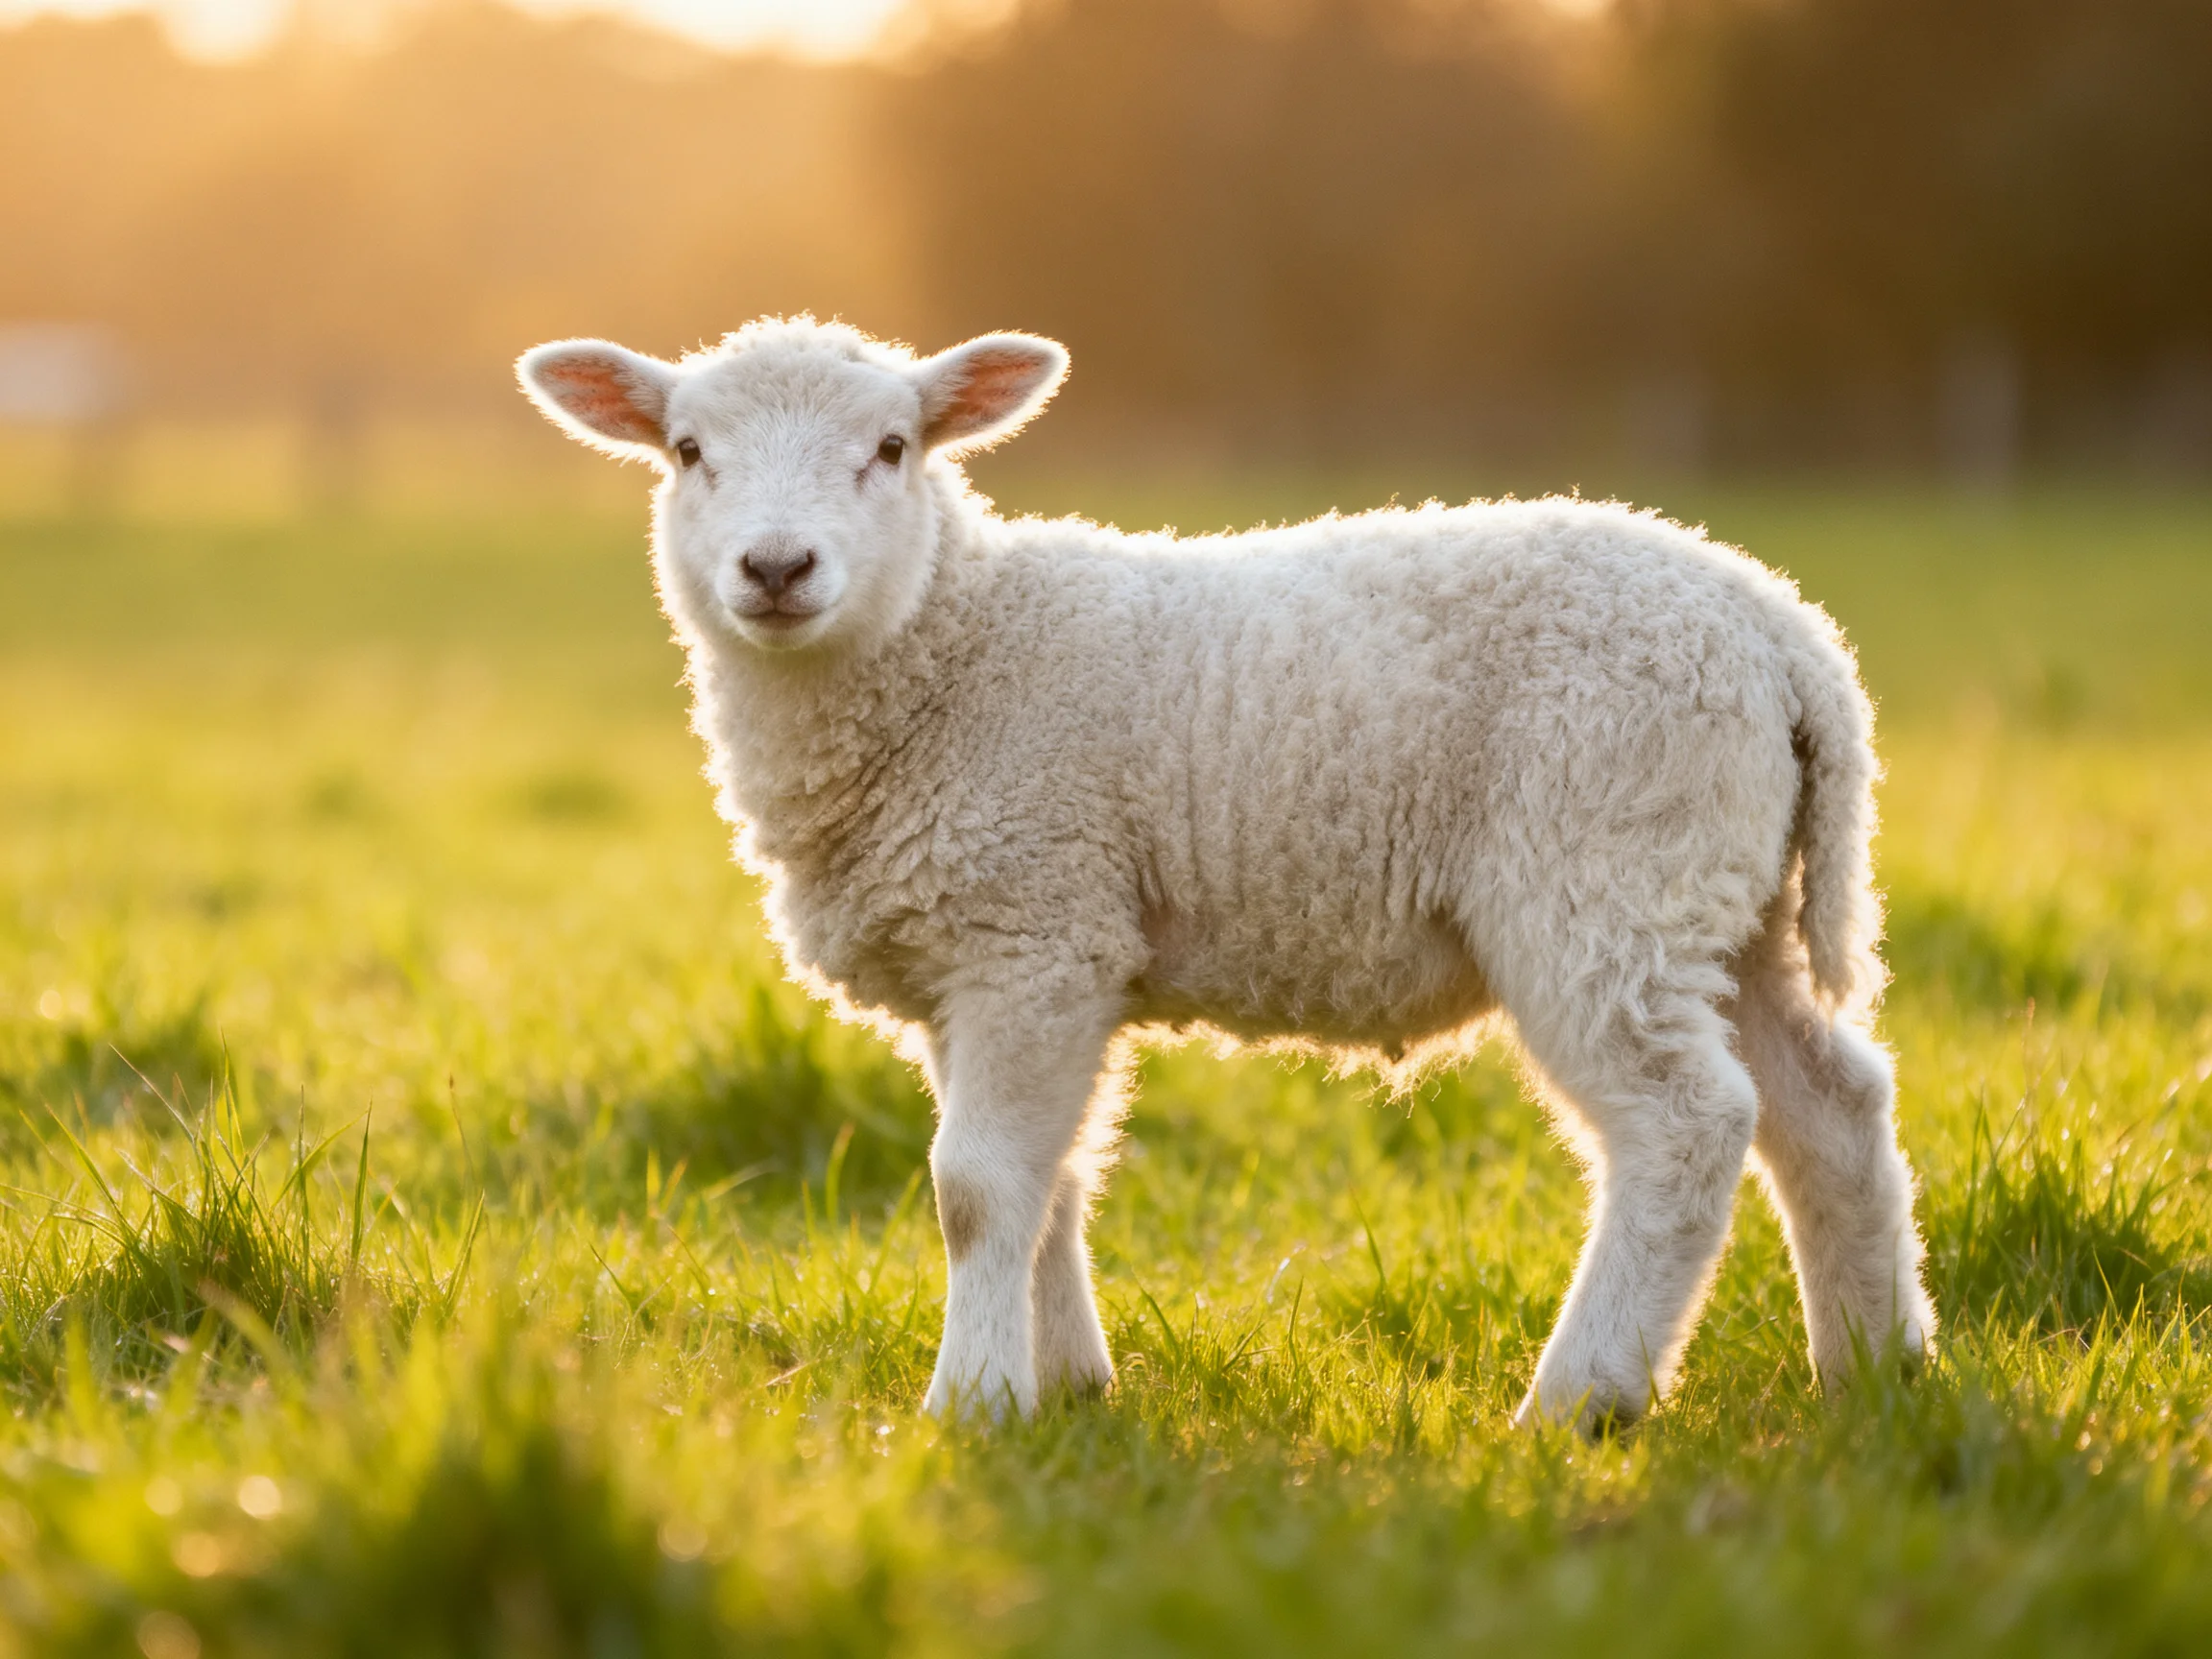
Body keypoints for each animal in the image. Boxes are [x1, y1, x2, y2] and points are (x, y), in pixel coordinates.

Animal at [517, 316, 1936, 1429]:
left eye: (893, 448)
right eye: (687, 452)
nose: (775, 568)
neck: (952, 647)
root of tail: (1784, 633)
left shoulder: (1032, 927)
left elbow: (977, 1190)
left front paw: (972, 1403)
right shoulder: (1004, 954)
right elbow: (1052, 1181)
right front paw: (1068, 1387)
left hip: (1604, 877)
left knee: (1685, 1125)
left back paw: (1581, 1401)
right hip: (1726, 900)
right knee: (1831, 1108)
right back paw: (1876, 1372)